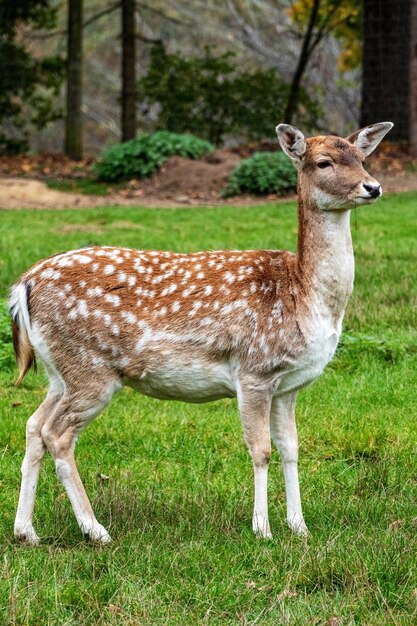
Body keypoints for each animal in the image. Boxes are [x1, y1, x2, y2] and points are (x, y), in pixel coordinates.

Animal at [10, 120, 394, 540]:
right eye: (323, 162)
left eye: (362, 158)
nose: (372, 187)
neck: (306, 296)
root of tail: (23, 285)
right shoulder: (255, 370)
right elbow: (261, 450)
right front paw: (263, 530)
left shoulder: (289, 384)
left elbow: (291, 449)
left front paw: (300, 527)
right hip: (90, 370)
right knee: (57, 435)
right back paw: (96, 530)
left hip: (58, 371)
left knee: (33, 425)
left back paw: (26, 531)